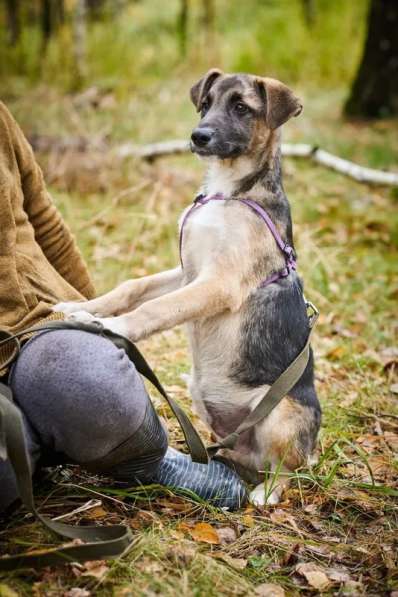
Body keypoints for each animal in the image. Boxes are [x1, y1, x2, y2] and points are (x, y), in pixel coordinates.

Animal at [54, 71, 322, 508]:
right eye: (205, 104)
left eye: (241, 108)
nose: (198, 136)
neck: (228, 191)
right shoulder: (187, 271)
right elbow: (134, 287)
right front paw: (85, 306)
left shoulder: (219, 282)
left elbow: (156, 310)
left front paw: (111, 327)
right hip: (205, 400)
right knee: (242, 456)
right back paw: (218, 460)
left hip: (283, 415)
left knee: (287, 468)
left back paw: (267, 491)